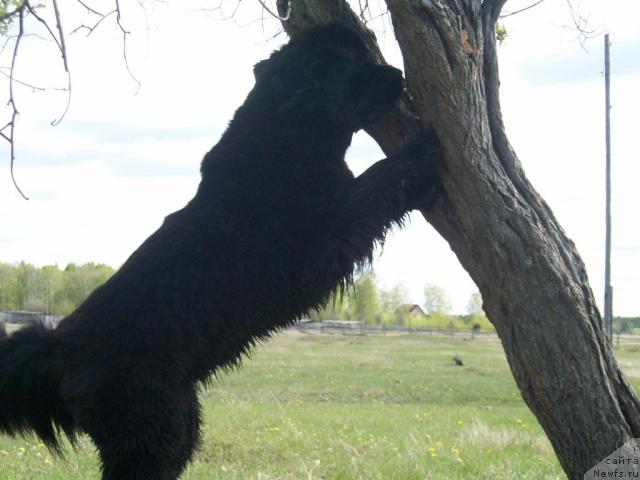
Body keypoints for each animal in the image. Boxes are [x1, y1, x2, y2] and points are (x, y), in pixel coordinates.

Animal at [0, 25, 442, 480]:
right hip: (151, 428)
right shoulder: (322, 242)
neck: (286, 140)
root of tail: (58, 349)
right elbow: (378, 181)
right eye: (352, 62)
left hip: (179, 418)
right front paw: (421, 152)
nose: (398, 74)